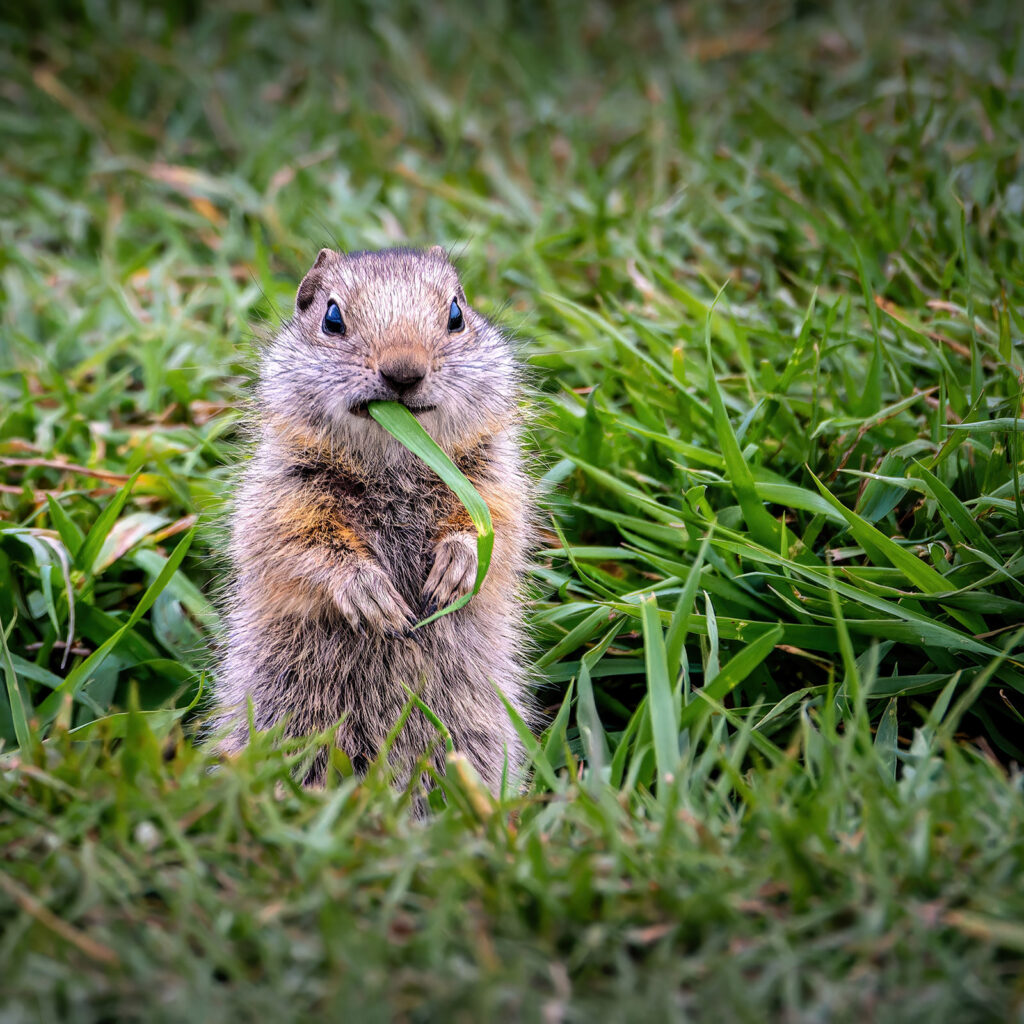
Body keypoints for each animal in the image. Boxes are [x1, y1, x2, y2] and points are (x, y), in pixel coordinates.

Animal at [209, 245, 535, 794]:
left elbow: (499, 530)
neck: (394, 459)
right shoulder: (282, 494)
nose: (404, 372)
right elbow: (295, 545)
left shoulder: (492, 480)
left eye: (456, 314)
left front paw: (456, 569)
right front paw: (374, 598)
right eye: (331, 318)